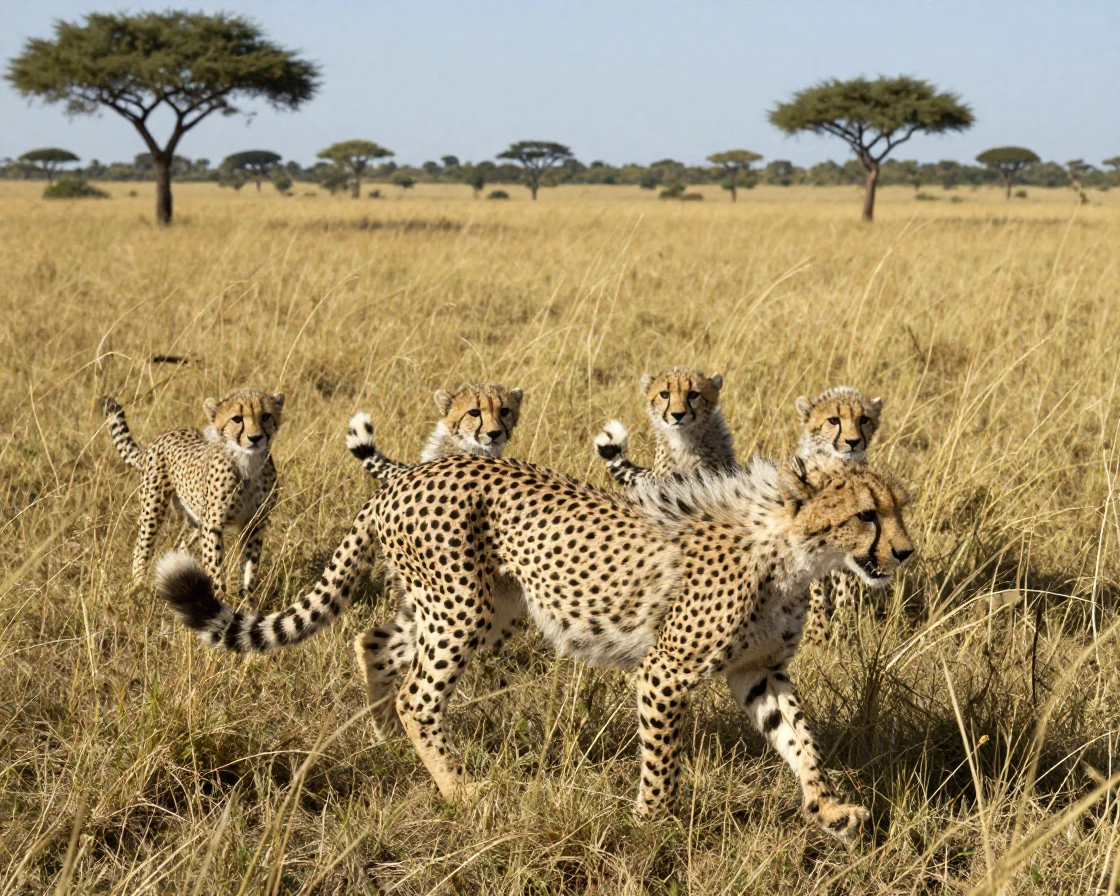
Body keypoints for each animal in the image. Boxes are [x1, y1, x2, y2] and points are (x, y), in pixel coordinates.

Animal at [101, 390, 284, 598]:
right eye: (237, 418)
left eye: (265, 416)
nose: (255, 438)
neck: (248, 463)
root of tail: (163, 436)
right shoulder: (213, 525)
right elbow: (215, 569)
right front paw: (217, 601)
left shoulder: (255, 523)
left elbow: (250, 571)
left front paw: (248, 601)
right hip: (154, 508)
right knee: (141, 547)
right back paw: (139, 586)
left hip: (195, 518)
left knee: (181, 544)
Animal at [154, 448, 912, 844]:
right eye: (865, 515)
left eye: (900, 508)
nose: (904, 552)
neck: (791, 549)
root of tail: (407, 476)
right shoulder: (665, 673)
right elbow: (662, 763)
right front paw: (651, 826)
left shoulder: (759, 672)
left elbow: (800, 740)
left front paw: (829, 808)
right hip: (462, 609)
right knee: (417, 692)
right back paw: (460, 789)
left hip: (480, 608)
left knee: (376, 641)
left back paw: (378, 736)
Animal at [793, 386, 885, 649]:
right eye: (833, 420)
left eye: (863, 419)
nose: (853, 442)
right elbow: (815, 590)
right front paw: (818, 633)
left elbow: (847, 591)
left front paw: (845, 630)